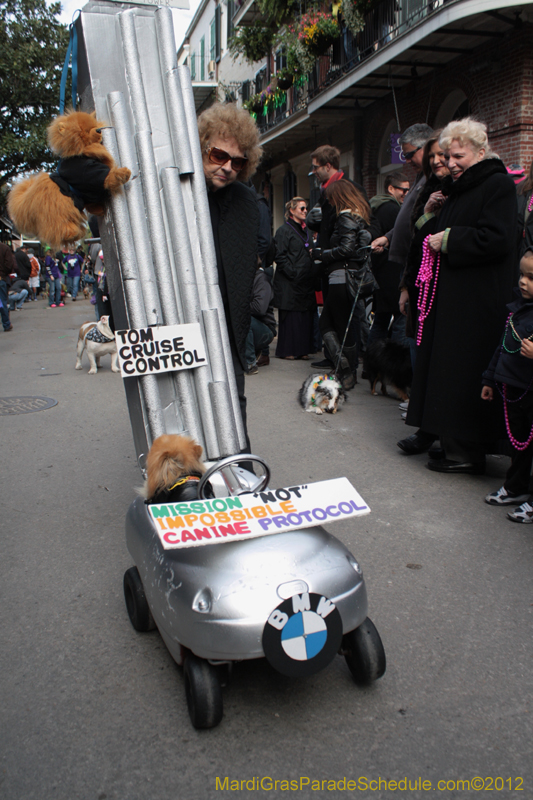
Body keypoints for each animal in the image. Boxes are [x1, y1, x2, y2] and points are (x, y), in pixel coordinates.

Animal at [8, 109, 130, 247]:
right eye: (86, 131)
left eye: (94, 126)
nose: (99, 130)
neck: (80, 153)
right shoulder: (89, 173)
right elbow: (108, 176)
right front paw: (123, 173)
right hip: (56, 210)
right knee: (60, 227)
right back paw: (73, 233)